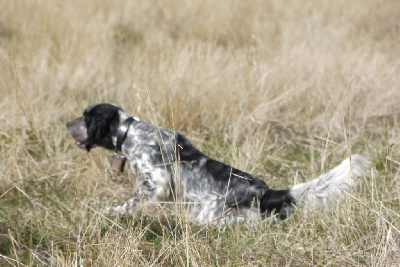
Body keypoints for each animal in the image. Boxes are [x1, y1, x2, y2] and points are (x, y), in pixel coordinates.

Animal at [66, 103, 372, 225]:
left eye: (86, 116)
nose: (67, 124)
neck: (130, 132)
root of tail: (267, 192)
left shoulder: (156, 184)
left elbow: (129, 202)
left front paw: (110, 212)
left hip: (211, 212)